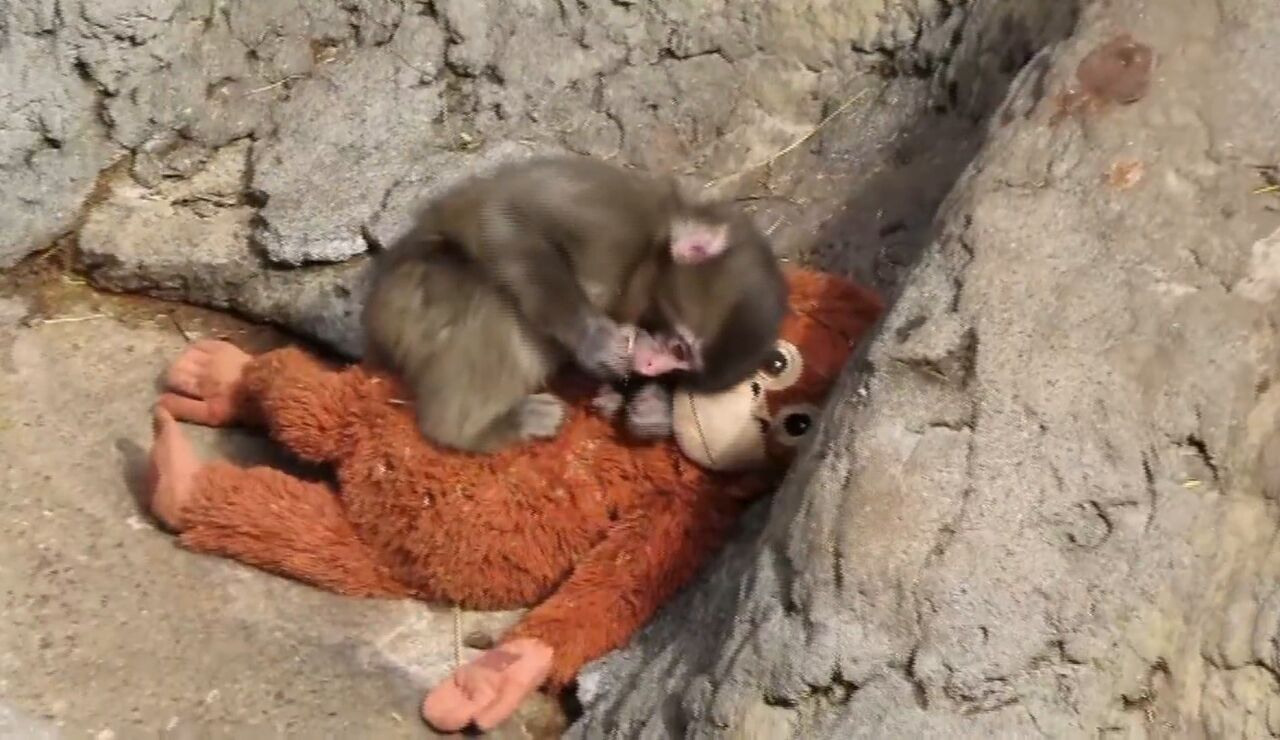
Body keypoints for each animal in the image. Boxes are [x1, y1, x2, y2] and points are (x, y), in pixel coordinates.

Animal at [361, 154, 788, 454]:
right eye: (679, 348)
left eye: (681, 369)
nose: (652, 366)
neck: (646, 254)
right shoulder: (612, 218)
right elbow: (506, 214)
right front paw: (594, 341)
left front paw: (649, 405)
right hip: (413, 299)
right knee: (493, 302)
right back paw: (474, 428)